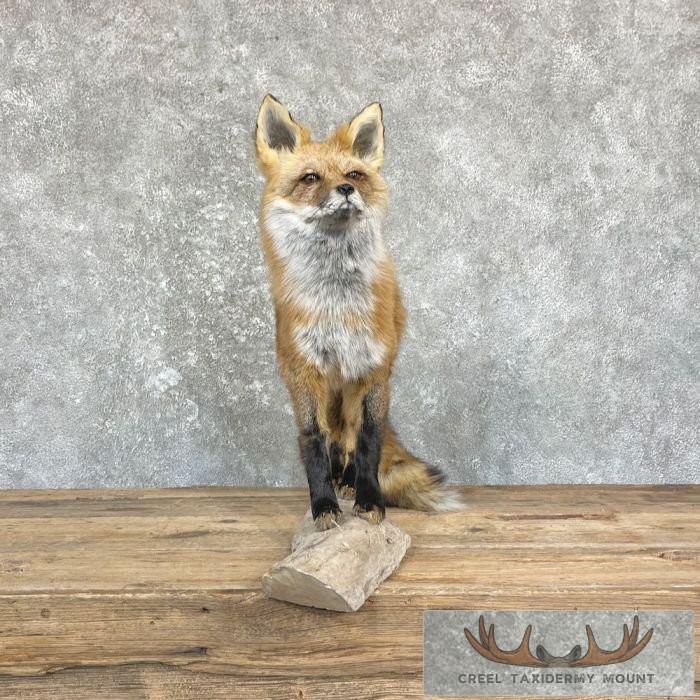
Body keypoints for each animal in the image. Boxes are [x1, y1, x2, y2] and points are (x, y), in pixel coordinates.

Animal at [254, 95, 461, 529]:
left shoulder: (372, 368)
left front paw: (369, 500)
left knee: (349, 436)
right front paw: (323, 505)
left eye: (354, 173)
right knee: (334, 438)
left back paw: (348, 481)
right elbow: (313, 442)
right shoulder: (303, 372)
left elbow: (368, 441)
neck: (337, 306)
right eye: (310, 178)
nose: (346, 189)